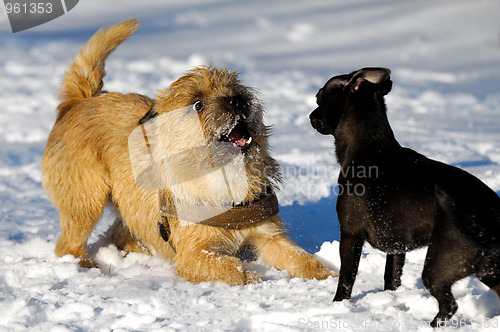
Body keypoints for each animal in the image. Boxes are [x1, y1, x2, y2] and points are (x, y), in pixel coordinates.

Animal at [41, 18, 334, 286]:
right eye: (197, 104)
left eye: (235, 88)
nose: (238, 100)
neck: (225, 176)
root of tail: (82, 100)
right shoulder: (193, 253)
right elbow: (228, 267)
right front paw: (252, 277)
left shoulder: (269, 235)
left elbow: (300, 258)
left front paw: (328, 275)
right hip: (85, 199)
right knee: (69, 243)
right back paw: (85, 265)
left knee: (118, 233)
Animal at [308, 67, 500, 326]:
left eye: (319, 97)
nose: (311, 116)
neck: (368, 148)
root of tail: (487, 214)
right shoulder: (397, 248)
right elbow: (392, 278)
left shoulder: (350, 234)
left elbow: (346, 278)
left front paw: (337, 305)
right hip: (490, 270)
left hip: (439, 265)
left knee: (449, 304)